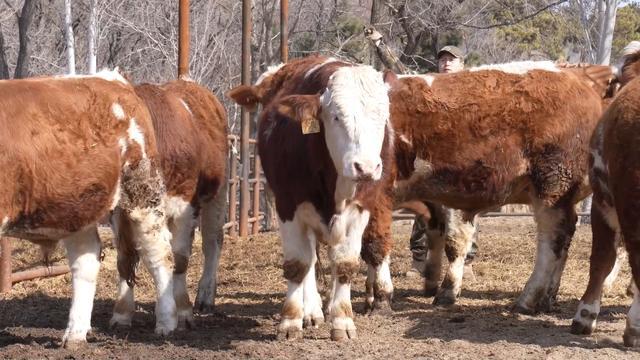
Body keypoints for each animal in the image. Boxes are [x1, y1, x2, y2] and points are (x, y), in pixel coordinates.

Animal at [0, 70, 176, 346]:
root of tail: (114, 80)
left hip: (143, 193)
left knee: (160, 254)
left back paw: (167, 323)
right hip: (77, 208)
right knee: (87, 260)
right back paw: (75, 334)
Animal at [109, 80, 229, 330]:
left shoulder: (184, 206)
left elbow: (179, 258)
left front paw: (182, 310)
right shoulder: (119, 214)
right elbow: (125, 259)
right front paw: (122, 313)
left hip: (217, 195)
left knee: (212, 243)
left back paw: (206, 296)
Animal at [225, 55, 396, 340]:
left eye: (382, 117)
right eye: (336, 116)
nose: (366, 167)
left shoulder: (361, 209)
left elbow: (346, 264)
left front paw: (342, 320)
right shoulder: (288, 206)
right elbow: (298, 263)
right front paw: (291, 320)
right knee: (311, 260)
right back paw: (311, 311)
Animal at [380, 60, 616, 314]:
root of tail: (580, 77)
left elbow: (454, 242)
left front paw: (446, 291)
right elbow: (436, 234)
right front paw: (432, 282)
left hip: (552, 185)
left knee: (553, 237)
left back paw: (528, 299)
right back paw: (548, 297)